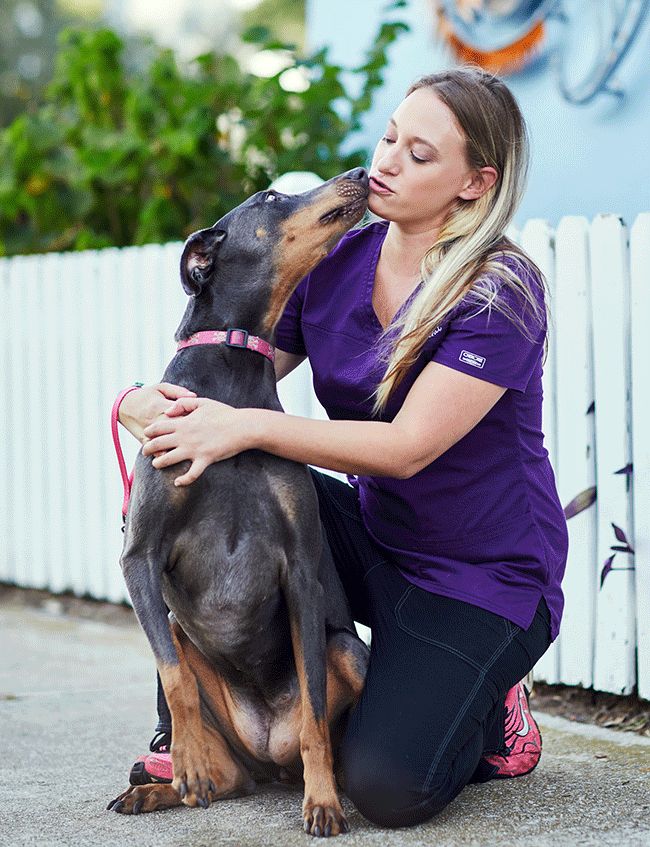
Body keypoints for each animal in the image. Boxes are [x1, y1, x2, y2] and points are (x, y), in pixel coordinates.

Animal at [107, 169, 370, 840]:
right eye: (271, 198)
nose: (359, 174)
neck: (232, 376)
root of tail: (266, 755)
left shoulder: (301, 568)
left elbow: (315, 713)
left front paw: (323, 803)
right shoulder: (139, 557)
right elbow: (172, 676)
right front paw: (188, 763)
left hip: (346, 650)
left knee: (319, 728)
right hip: (188, 644)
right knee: (226, 774)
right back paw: (168, 782)